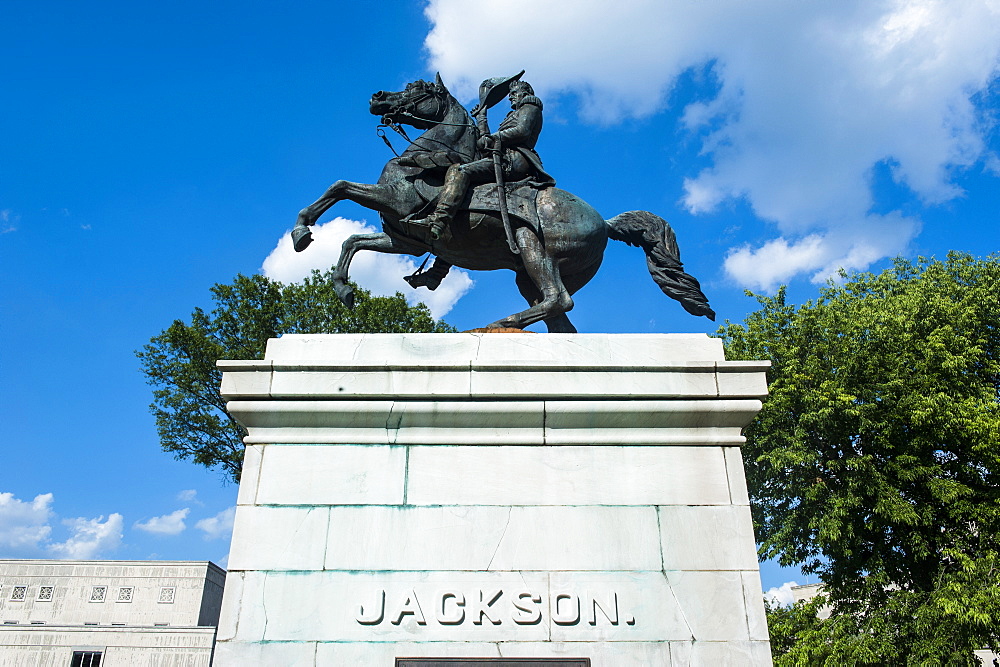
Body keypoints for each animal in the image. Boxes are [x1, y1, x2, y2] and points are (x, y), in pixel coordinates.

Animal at [290, 73, 712, 334]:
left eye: (417, 87)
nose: (377, 97)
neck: (424, 159)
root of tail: (604, 223)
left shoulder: (398, 203)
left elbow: (340, 187)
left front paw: (301, 231)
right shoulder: (404, 239)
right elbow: (351, 240)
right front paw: (344, 290)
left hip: (532, 249)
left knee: (559, 299)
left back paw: (500, 322)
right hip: (530, 274)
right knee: (560, 316)